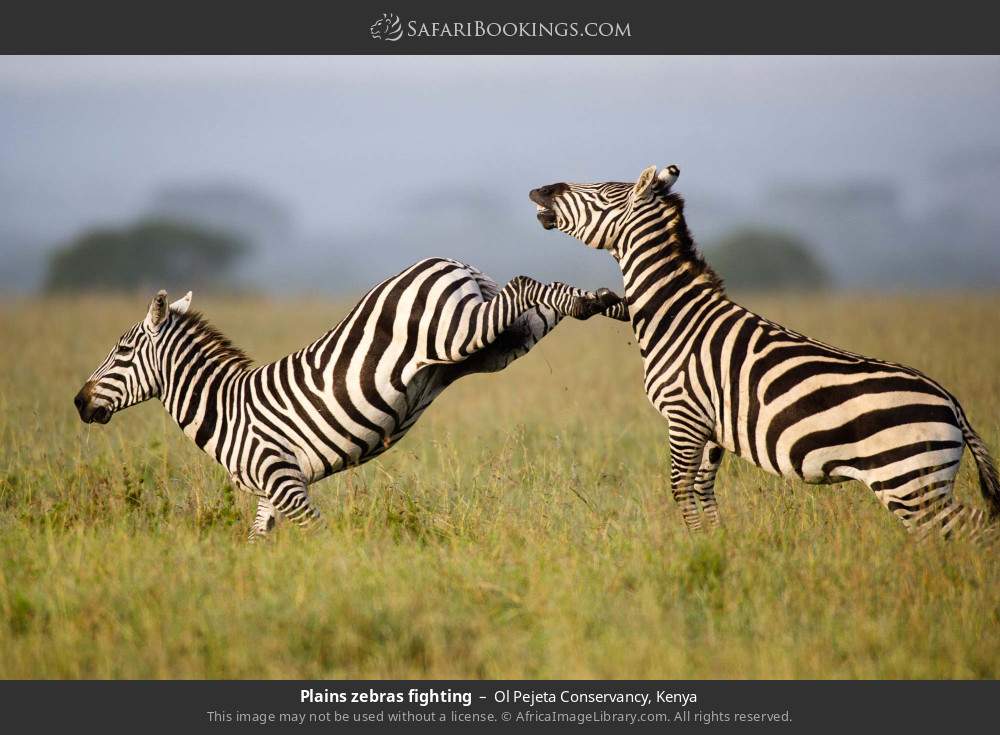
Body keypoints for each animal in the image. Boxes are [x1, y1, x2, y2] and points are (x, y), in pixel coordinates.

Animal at [74, 257, 626, 540]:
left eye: (122, 350)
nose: (79, 403)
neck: (224, 405)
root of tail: (452, 263)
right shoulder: (271, 489)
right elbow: (257, 539)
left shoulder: (282, 479)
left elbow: (319, 535)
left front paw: (336, 576)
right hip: (497, 345)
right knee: (539, 298)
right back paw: (602, 301)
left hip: (458, 333)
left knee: (523, 282)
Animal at [529, 165, 1000, 541]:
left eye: (605, 191)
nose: (539, 190)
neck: (674, 314)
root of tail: (953, 404)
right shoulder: (712, 427)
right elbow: (703, 488)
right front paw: (716, 543)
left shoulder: (684, 415)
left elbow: (679, 487)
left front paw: (692, 544)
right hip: (920, 484)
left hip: (909, 481)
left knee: (971, 530)